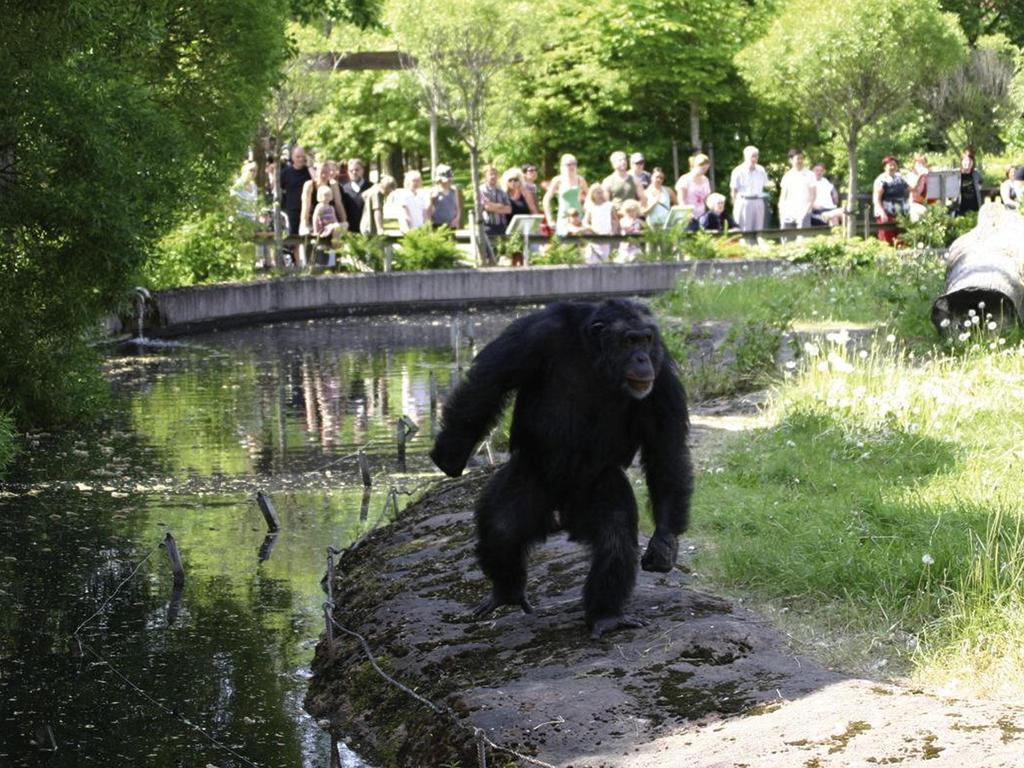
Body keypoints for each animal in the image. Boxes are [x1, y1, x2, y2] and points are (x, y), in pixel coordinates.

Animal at [428, 296, 692, 638]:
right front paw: (449, 454)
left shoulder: (662, 379)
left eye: (646, 339)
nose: (642, 358)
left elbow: (665, 450)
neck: (594, 357)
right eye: (629, 340)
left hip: (598, 485)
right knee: (502, 529)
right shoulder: (533, 335)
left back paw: (606, 616)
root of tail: (561, 515)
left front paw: (664, 543)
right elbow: (488, 384)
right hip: (528, 474)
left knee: (615, 540)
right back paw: (506, 592)